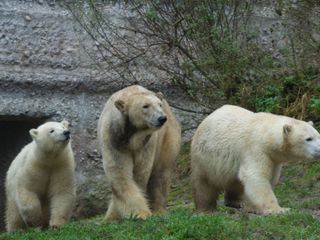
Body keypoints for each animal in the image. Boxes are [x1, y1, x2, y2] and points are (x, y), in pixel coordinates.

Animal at [97, 85, 181, 222]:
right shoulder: (113, 139)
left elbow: (140, 173)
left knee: (161, 172)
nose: (162, 118)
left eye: (159, 105)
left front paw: (142, 214)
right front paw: (137, 213)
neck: (130, 136)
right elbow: (119, 173)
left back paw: (159, 211)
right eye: (145, 106)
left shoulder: (146, 143)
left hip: (168, 135)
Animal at [190, 106, 320, 215]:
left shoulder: (274, 159)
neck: (266, 134)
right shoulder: (256, 149)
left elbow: (270, 177)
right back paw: (206, 209)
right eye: (308, 139)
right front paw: (280, 209)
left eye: (318, 135)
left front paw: (252, 207)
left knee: (235, 183)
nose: (319, 149)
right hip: (204, 158)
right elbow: (257, 177)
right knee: (204, 185)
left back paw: (238, 202)